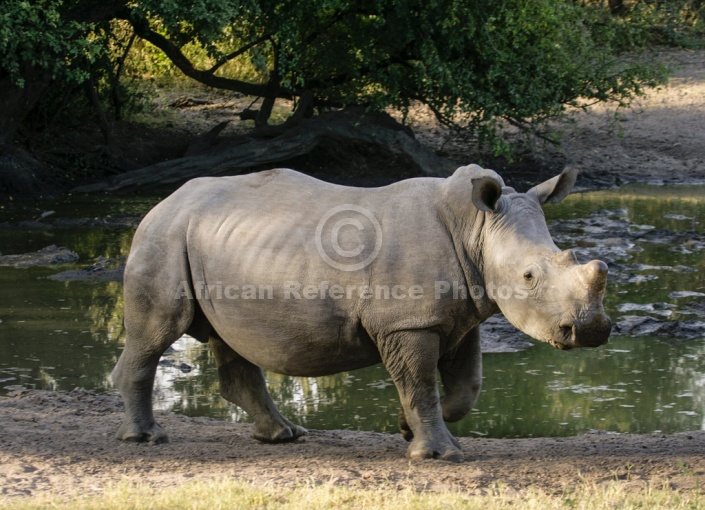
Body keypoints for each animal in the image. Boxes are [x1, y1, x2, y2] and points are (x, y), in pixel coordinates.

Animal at [114, 164, 612, 462]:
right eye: (528, 276)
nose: (591, 331)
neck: (477, 229)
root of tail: (161, 202)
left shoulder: (460, 317)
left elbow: (466, 388)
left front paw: (406, 429)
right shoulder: (408, 322)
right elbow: (420, 385)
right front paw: (438, 455)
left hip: (211, 242)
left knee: (229, 339)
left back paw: (283, 435)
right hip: (165, 236)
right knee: (158, 333)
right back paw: (148, 438)